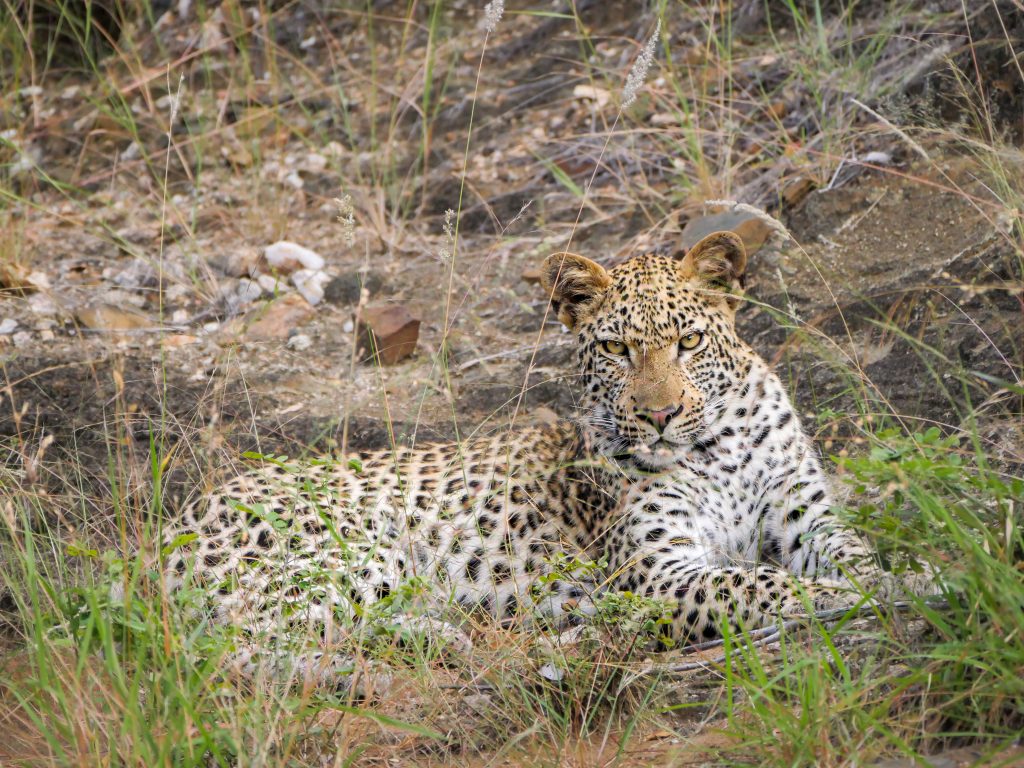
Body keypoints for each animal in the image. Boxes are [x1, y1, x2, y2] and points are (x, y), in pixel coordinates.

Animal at [160, 231, 925, 684]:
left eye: (688, 342)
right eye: (616, 348)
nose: (659, 415)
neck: (721, 446)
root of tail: (172, 529)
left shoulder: (806, 521)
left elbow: (851, 553)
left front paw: (910, 571)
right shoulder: (653, 572)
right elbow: (762, 585)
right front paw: (879, 591)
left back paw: (438, 637)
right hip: (348, 551)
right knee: (239, 647)